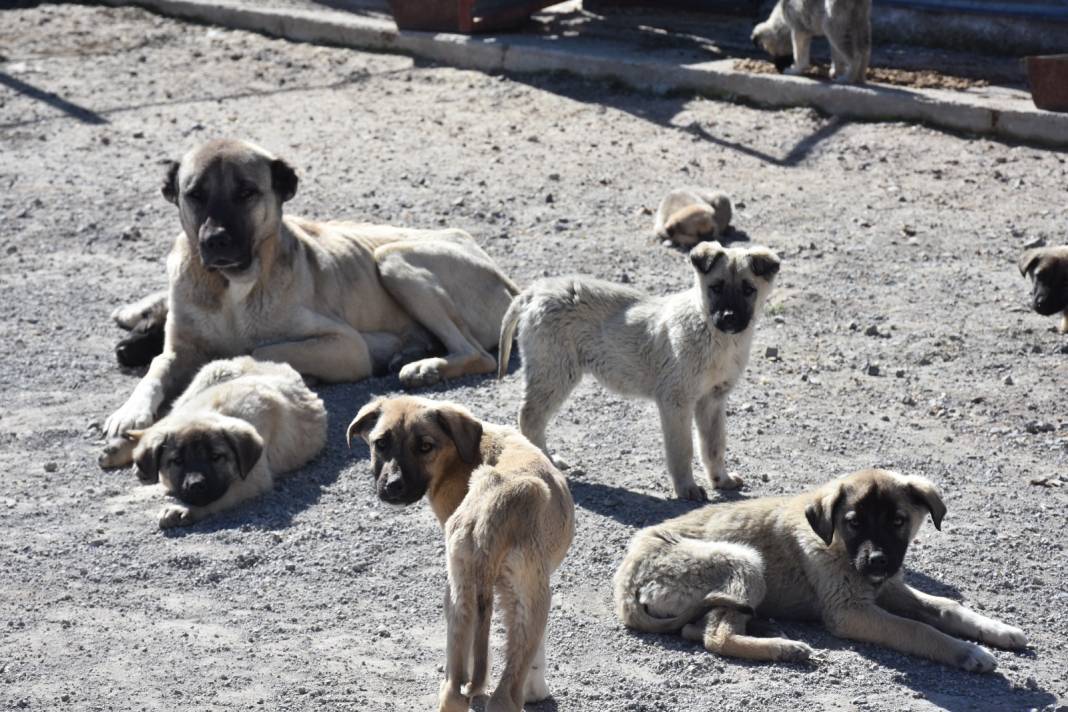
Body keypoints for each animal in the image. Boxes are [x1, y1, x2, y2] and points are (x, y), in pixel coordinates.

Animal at [100, 356, 326, 529]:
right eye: (177, 461)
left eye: (216, 457)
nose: (196, 485)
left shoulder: (253, 478)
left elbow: (218, 496)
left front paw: (183, 509)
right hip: (204, 378)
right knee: (156, 425)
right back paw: (120, 449)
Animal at [348, 394, 576, 712]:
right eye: (380, 443)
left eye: (425, 446)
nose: (392, 487)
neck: (464, 455)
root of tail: (492, 511)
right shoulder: (535, 591)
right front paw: (536, 691)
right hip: (528, 600)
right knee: (505, 696)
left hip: (461, 593)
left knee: (453, 691)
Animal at [495, 242, 781, 503]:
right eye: (716, 287)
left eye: (748, 289)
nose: (729, 317)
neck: (714, 335)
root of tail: (535, 292)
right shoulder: (676, 401)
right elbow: (683, 449)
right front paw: (687, 488)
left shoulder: (712, 400)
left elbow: (714, 445)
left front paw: (721, 479)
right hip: (554, 372)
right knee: (530, 417)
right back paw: (545, 461)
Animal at [619, 469, 1025, 670]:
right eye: (854, 523)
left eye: (898, 521)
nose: (878, 561)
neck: (838, 547)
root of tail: (625, 585)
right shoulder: (849, 611)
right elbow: (918, 629)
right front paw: (967, 653)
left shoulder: (890, 588)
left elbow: (946, 607)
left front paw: (999, 630)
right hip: (743, 560)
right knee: (715, 637)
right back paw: (785, 649)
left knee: (697, 629)